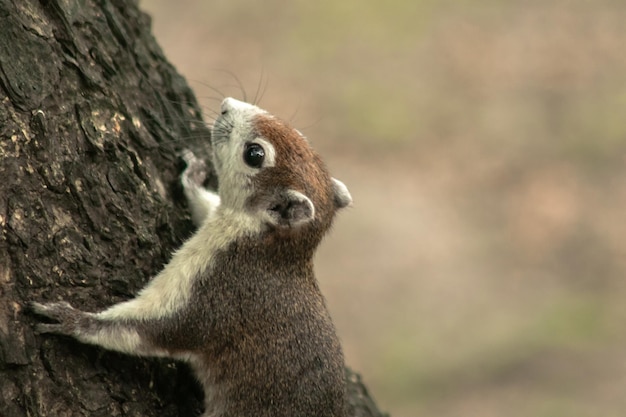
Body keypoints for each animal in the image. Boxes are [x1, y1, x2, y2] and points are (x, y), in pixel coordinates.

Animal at [31, 97, 352, 416]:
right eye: (302, 138)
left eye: (255, 154)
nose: (226, 105)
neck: (272, 247)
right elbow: (205, 204)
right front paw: (193, 177)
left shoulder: (219, 293)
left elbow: (157, 330)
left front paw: (75, 321)